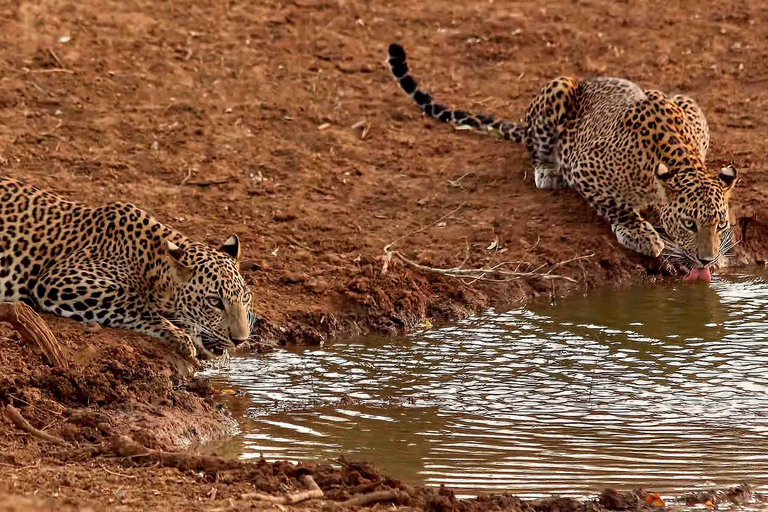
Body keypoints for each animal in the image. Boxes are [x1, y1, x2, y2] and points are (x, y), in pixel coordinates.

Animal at [0, 178, 258, 358]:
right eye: (214, 302)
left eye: (245, 298)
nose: (240, 340)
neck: (149, 261)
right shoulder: (59, 279)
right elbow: (134, 303)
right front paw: (180, 337)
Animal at [390, 43, 736, 280]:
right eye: (689, 224)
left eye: (721, 224)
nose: (706, 260)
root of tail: (587, 80)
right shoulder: (583, 169)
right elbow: (617, 206)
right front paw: (641, 234)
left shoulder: (690, 111)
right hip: (558, 88)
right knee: (537, 149)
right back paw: (546, 171)